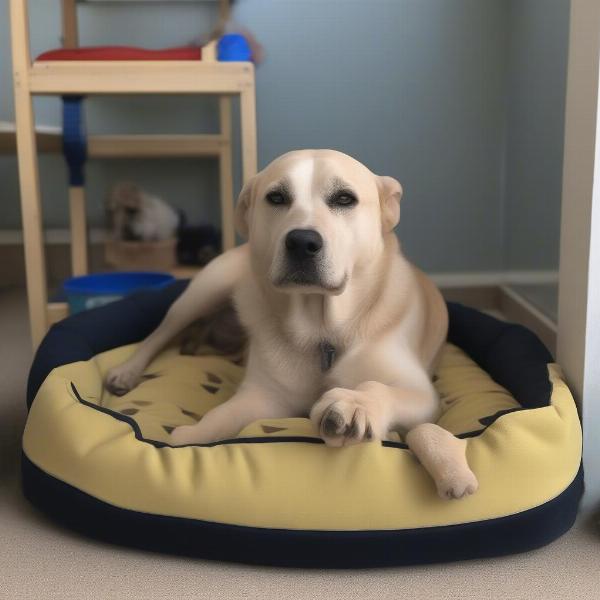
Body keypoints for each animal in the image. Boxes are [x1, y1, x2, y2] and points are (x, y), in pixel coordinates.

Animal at [104, 151, 478, 502]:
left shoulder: (421, 394)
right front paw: (191, 438)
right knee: (157, 336)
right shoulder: (264, 395)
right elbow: (221, 416)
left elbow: (378, 387)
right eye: (277, 197)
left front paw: (355, 405)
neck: (322, 331)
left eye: (345, 198)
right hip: (203, 291)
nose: (301, 242)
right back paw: (126, 372)